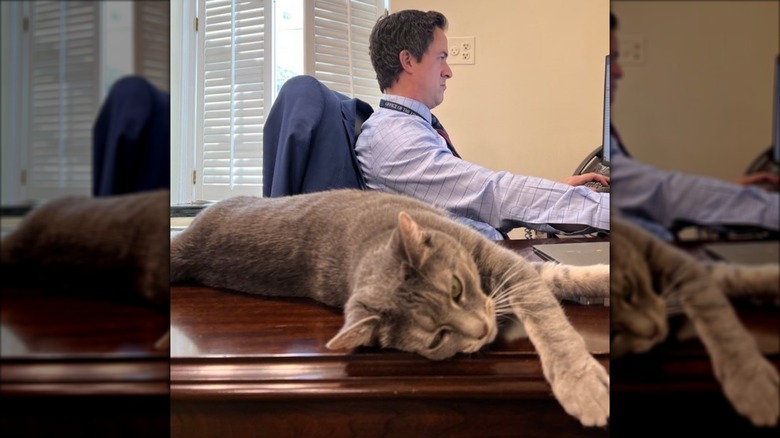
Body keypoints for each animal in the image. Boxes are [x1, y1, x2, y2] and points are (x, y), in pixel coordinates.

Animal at [172, 190, 616, 426]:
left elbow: (550, 302)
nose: (480, 331)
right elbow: (548, 288)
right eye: (437, 338)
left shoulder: (507, 266)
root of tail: (189, 240)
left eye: (456, 287)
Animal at [612, 216, 776, 428]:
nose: (654, 331)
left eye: (627, 288)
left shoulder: (680, 265)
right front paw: (754, 388)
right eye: (613, 334)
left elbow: (721, 315)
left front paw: (752, 384)